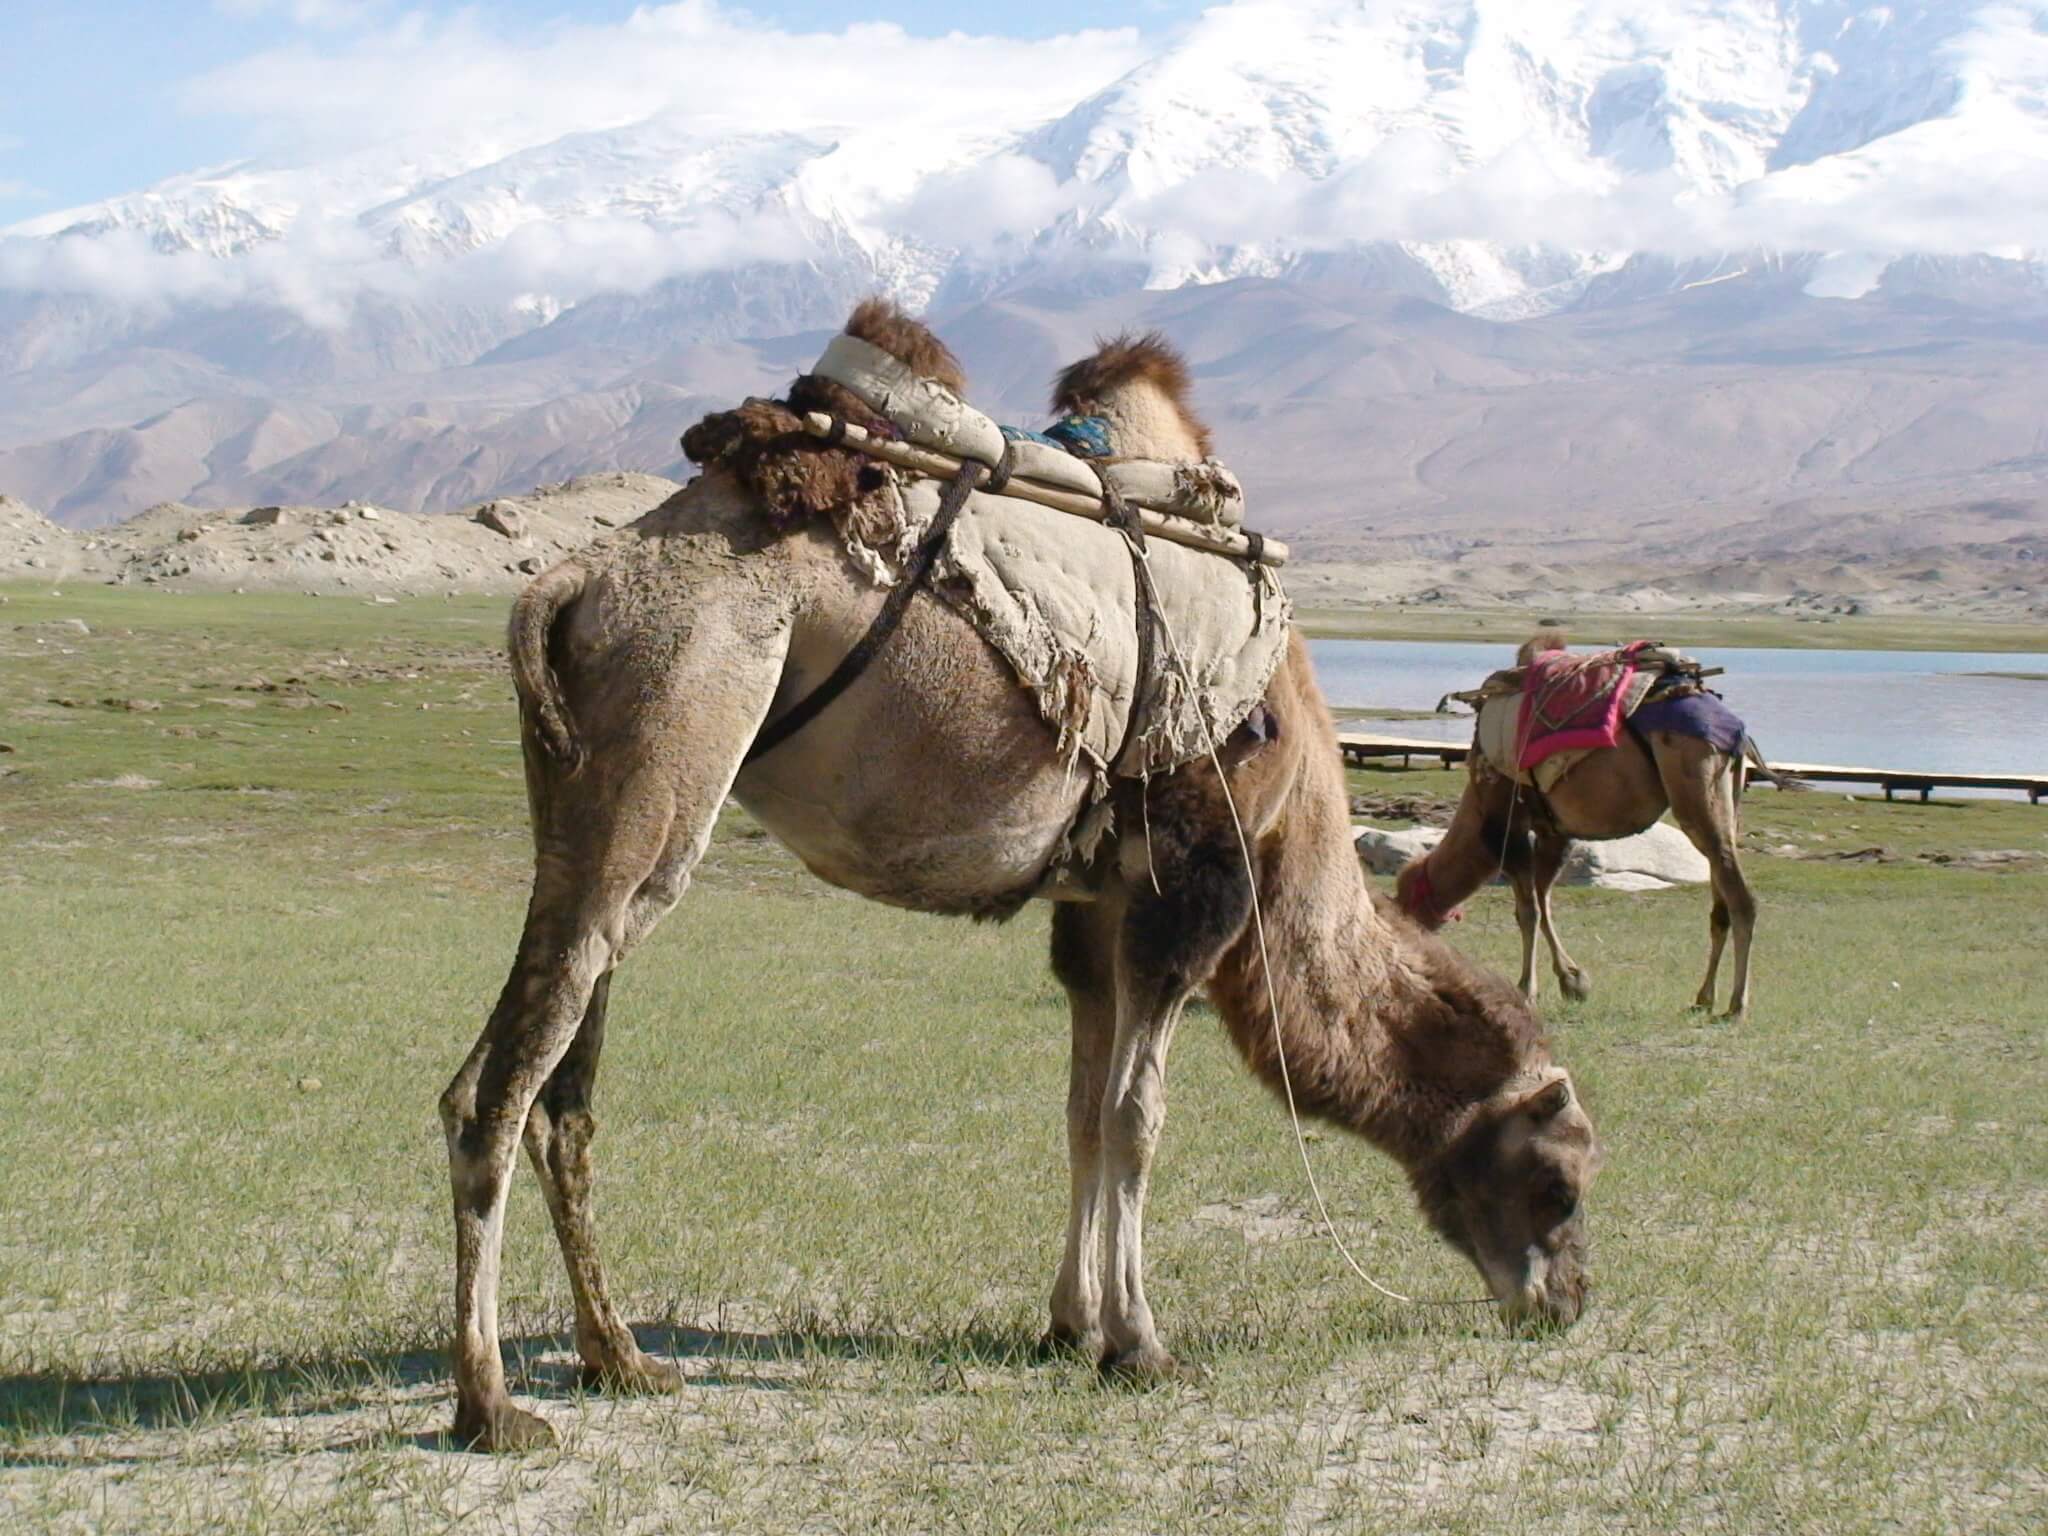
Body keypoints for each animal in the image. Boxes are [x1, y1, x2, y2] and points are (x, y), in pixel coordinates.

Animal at [439, 304, 1603, 1451]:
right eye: (1560, 1178)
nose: (1566, 1302)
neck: (1299, 811)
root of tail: (572, 582)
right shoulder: (1189, 892)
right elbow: (1139, 1117)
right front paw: (1140, 1344)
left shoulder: (1093, 908)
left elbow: (1083, 1110)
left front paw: (1068, 1327)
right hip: (671, 742)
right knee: (495, 1092)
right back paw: (491, 1404)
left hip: (582, 806)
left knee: (559, 1091)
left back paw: (619, 1359)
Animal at [1395, 632, 1769, 1017]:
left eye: (1407, 903)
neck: (1477, 806)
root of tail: (1735, 730)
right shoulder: (1553, 830)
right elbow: (1543, 899)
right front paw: (1572, 981)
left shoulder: (1507, 820)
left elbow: (1527, 911)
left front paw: (1527, 989)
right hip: (1727, 797)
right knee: (1720, 901)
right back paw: (1703, 997)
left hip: (1694, 779)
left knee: (1740, 898)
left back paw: (1737, 1005)